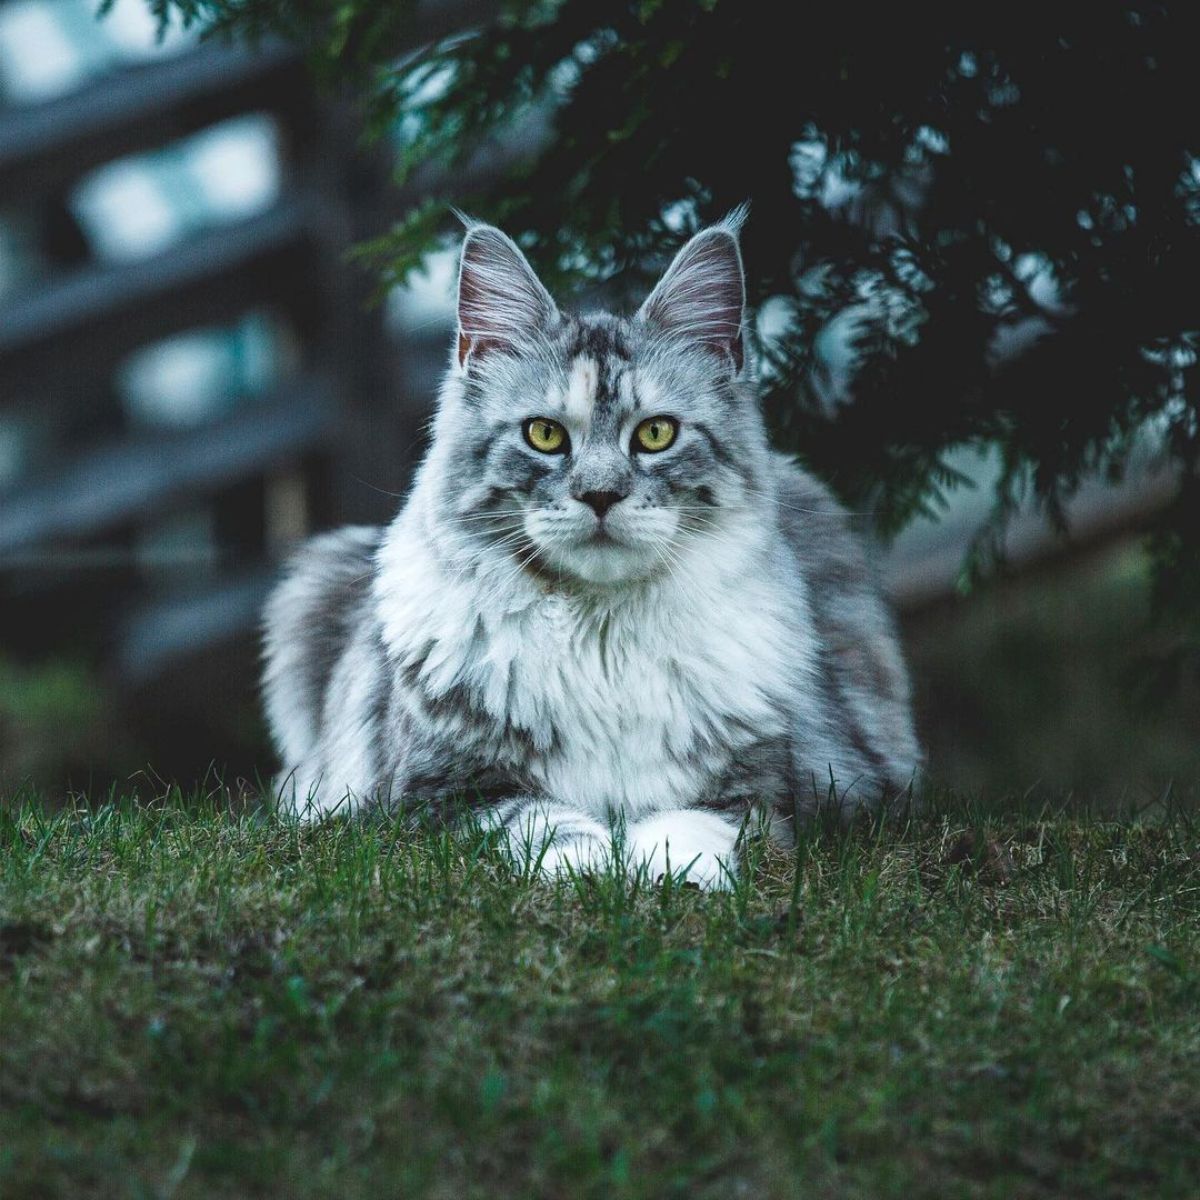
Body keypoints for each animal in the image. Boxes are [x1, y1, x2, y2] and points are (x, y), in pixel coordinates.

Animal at [260, 211, 916, 888]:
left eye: (656, 434)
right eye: (545, 435)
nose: (600, 494)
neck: (600, 635)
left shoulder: (770, 792)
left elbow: (694, 824)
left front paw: (667, 874)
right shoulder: (436, 799)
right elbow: (538, 821)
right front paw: (590, 869)